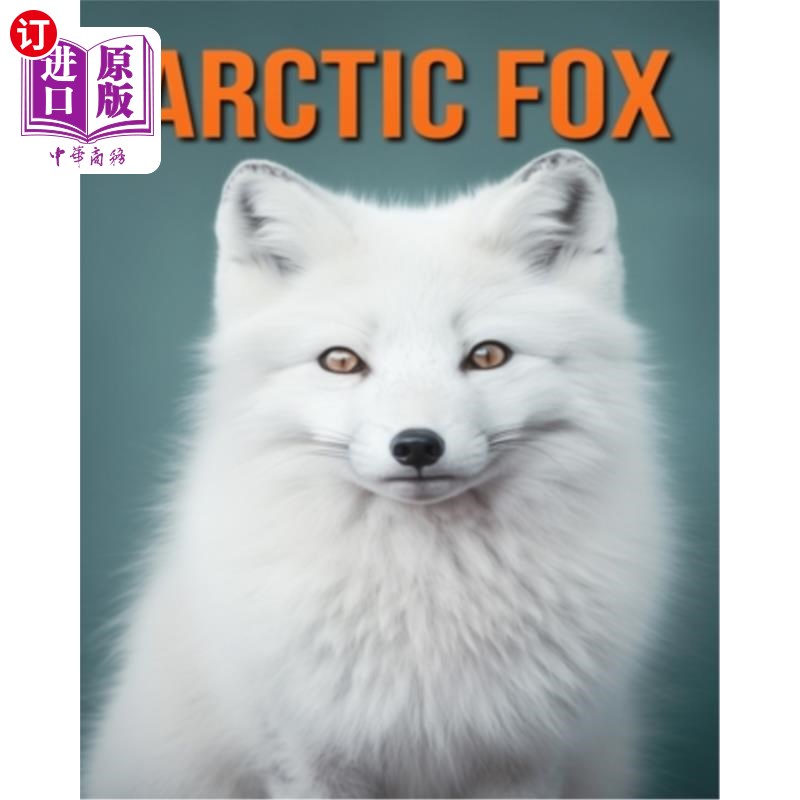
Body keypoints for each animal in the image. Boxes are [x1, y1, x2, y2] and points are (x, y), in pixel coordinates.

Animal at [85, 149, 673, 799]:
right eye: (341, 361)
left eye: (488, 355)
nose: (416, 445)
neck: (427, 594)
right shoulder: (305, 756)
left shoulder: (521, 759)